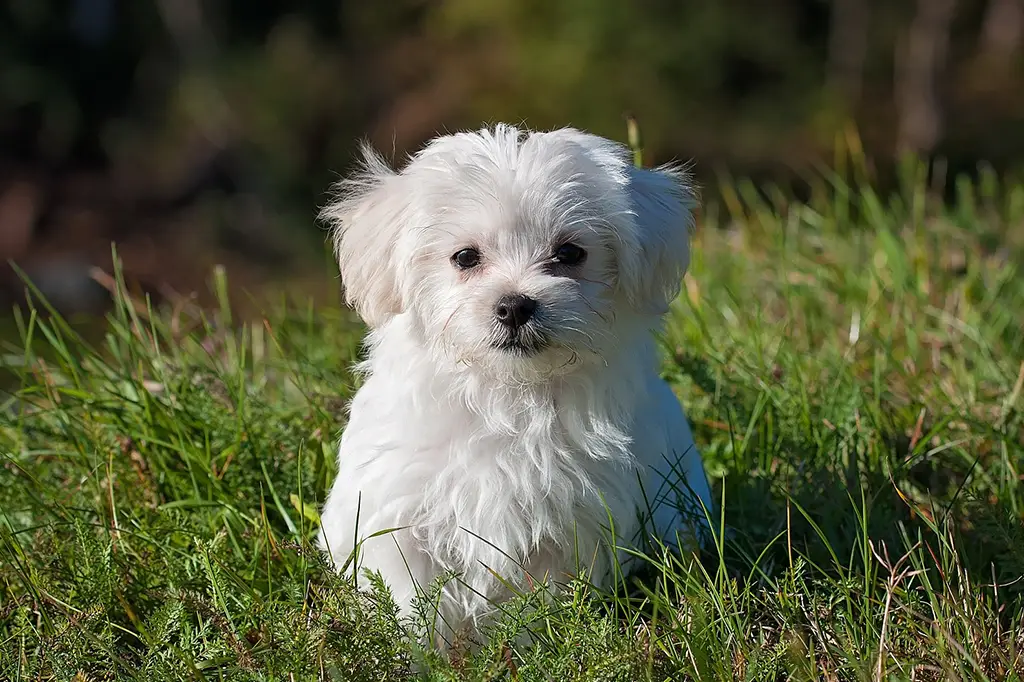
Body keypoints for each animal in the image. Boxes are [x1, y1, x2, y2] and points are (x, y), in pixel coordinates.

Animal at [317, 123, 712, 643]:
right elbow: (411, 600)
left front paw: (528, 647)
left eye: (570, 253)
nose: (514, 305)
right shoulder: (399, 514)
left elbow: (537, 603)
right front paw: (421, 652)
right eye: (465, 257)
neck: (508, 393)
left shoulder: (569, 526)